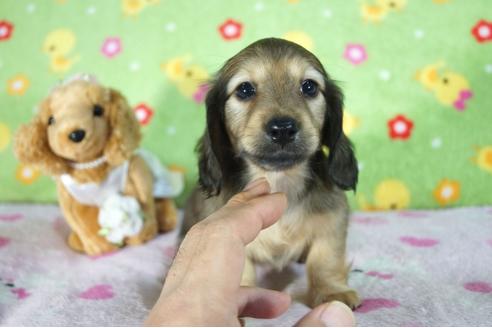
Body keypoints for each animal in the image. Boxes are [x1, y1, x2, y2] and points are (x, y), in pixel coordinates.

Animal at [183, 37, 360, 308]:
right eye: (245, 89)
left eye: (309, 86)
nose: (283, 128)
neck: (279, 181)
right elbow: (241, 270)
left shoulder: (332, 221)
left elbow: (325, 258)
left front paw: (332, 291)